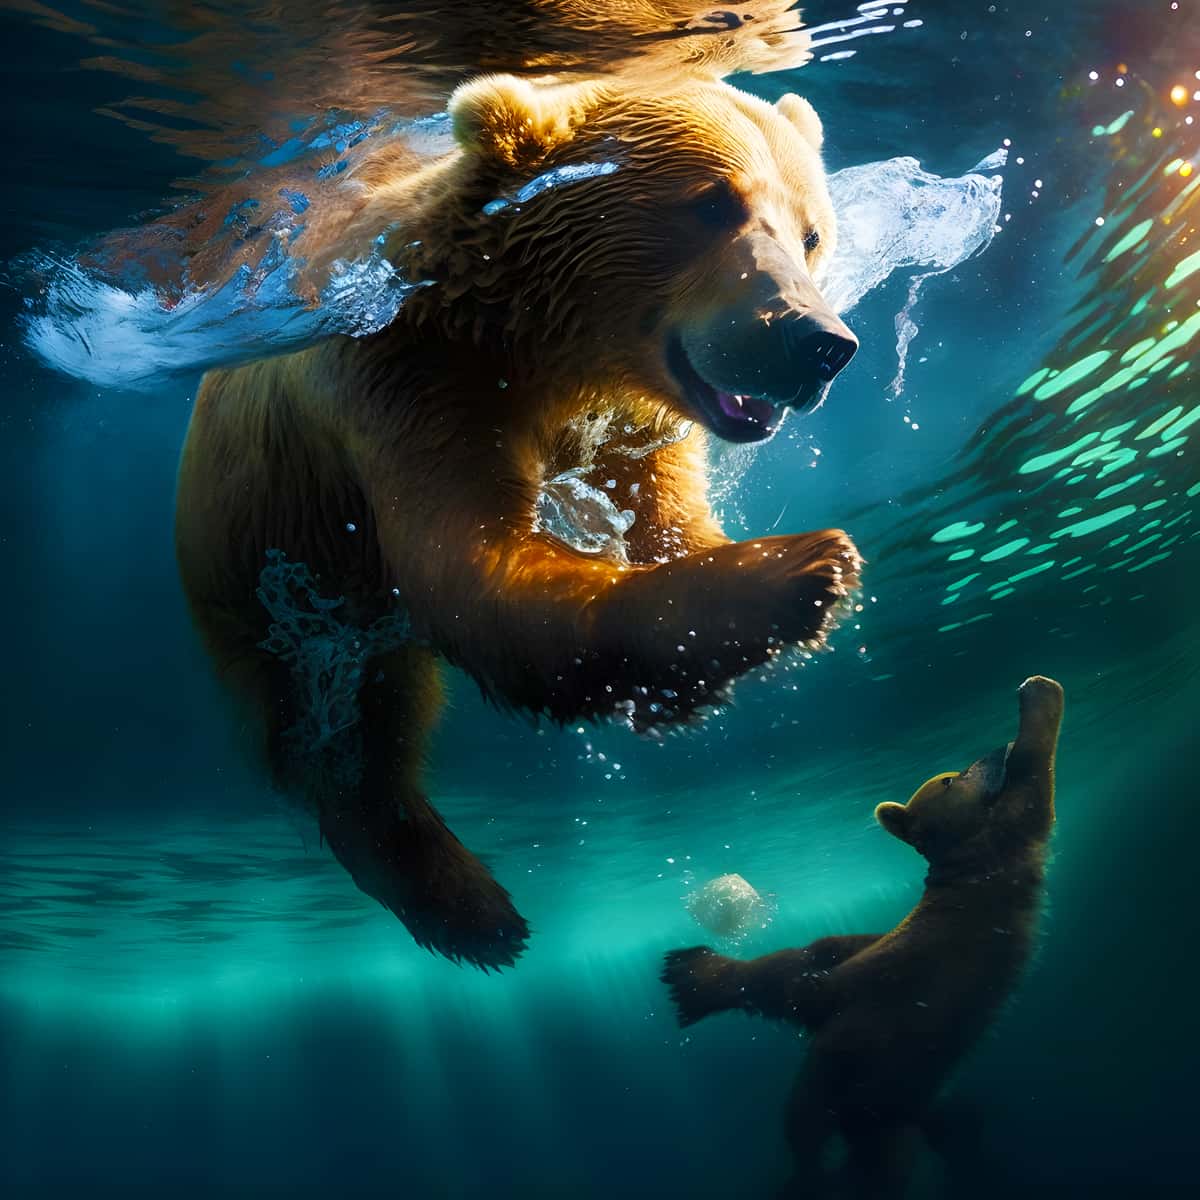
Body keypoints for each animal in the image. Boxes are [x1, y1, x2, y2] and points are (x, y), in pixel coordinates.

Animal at [175, 72, 860, 970]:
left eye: (812, 232)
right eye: (714, 202)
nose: (818, 343)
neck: (541, 345)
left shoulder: (633, 423)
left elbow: (668, 518)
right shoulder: (409, 378)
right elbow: (474, 572)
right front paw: (799, 571)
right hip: (265, 581)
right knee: (350, 735)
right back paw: (471, 908)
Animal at [661, 675, 1065, 1198]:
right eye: (950, 777)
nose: (992, 751)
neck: (961, 856)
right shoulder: (1000, 846)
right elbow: (1033, 788)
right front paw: (1037, 697)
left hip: (879, 1073)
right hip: (861, 1052)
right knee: (820, 1124)